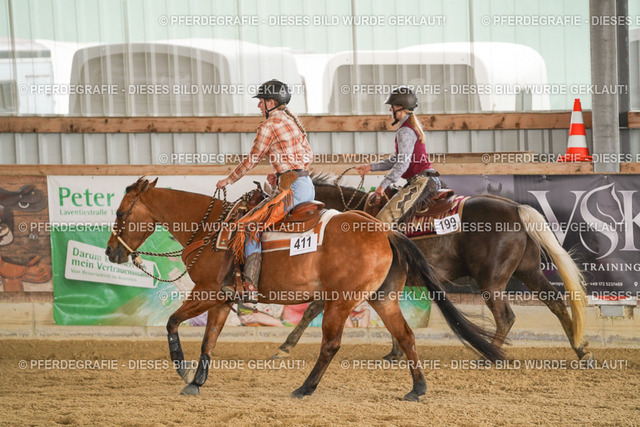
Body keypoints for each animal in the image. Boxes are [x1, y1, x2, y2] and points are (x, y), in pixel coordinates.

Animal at [105, 177, 504, 401]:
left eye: (122, 214)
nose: (110, 252)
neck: (210, 229)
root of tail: (383, 230)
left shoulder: (205, 292)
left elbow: (172, 323)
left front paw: (182, 369)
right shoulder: (221, 297)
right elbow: (209, 340)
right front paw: (197, 381)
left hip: (341, 302)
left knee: (331, 344)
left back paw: (305, 387)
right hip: (383, 298)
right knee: (405, 336)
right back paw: (417, 390)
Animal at [271, 174, 591, 361]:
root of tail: (515, 209)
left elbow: (313, 308)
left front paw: (285, 345)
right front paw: (396, 352)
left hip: (491, 281)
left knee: (505, 317)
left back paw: (490, 354)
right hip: (529, 271)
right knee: (557, 303)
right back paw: (581, 350)